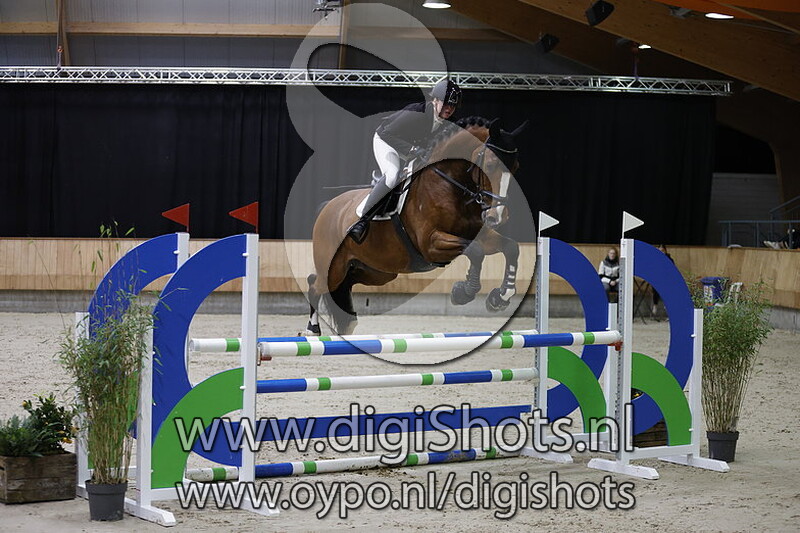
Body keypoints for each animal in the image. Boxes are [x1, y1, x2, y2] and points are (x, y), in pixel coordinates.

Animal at [305, 116, 528, 335]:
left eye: (516, 167)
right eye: (490, 165)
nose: (498, 217)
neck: (450, 185)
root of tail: (328, 207)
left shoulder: (479, 234)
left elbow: (510, 248)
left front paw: (500, 297)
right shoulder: (431, 243)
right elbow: (476, 251)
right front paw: (463, 292)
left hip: (376, 271)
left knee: (345, 283)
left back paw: (348, 322)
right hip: (334, 267)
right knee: (315, 284)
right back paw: (312, 329)